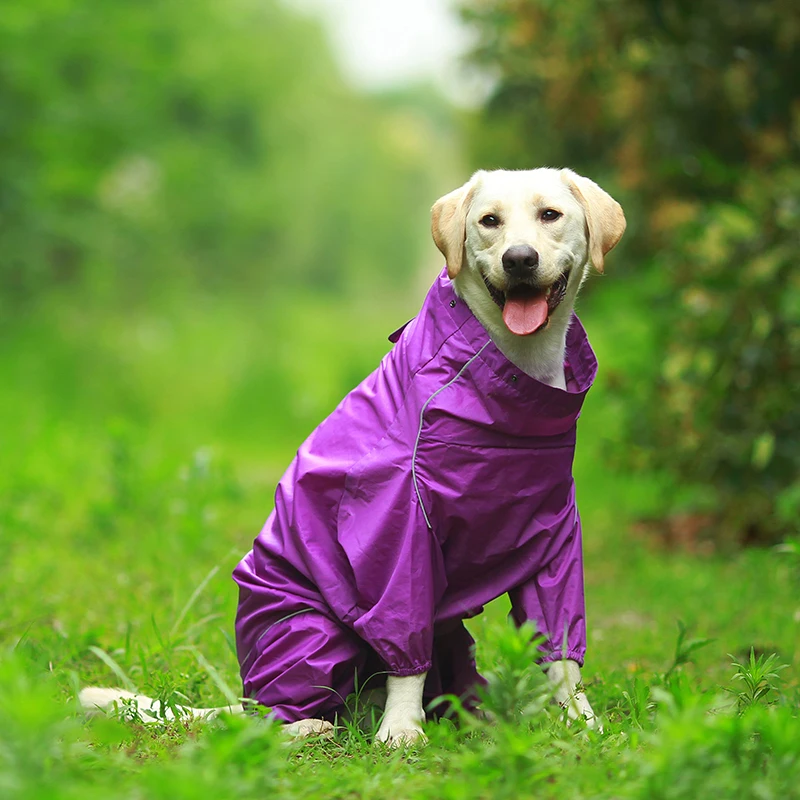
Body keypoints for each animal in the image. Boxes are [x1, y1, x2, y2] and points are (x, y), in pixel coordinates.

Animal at [84, 170, 628, 752]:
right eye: (489, 221)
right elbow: (405, 643)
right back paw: (312, 724)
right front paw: (402, 730)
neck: (511, 377)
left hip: (448, 636)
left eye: (550, 215)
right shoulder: (398, 532)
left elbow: (560, 649)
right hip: (309, 631)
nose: (520, 259)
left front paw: (579, 722)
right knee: (273, 716)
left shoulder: (554, 534)